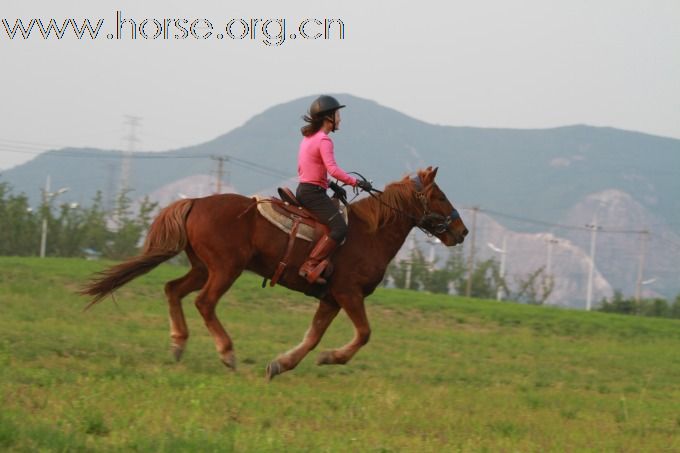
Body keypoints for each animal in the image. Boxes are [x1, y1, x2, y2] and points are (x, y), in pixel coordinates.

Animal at [81, 166, 468, 378]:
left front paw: (281, 364)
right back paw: (227, 352)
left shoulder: (330, 298)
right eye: (440, 196)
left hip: (202, 267)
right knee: (204, 303)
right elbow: (364, 333)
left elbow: (312, 337)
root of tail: (196, 202)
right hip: (225, 269)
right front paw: (333, 358)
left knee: (173, 290)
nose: (461, 232)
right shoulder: (349, 294)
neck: (370, 233)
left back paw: (178, 344)